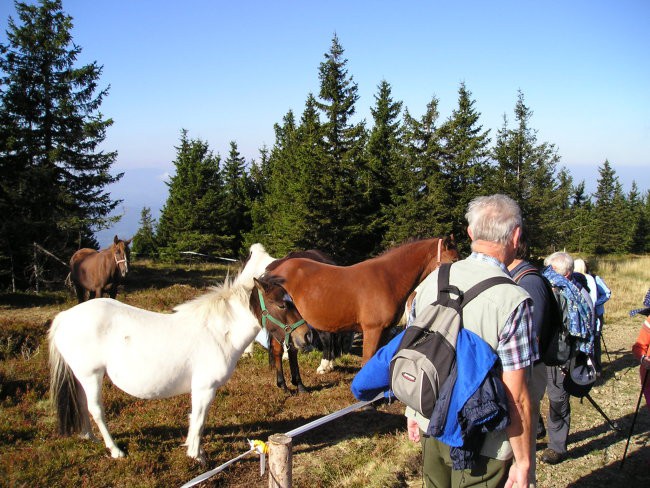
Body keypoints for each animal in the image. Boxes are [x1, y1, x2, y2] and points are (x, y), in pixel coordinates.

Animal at [49, 243, 274, 462]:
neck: (218, 330)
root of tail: (64, 317)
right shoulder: (205, 388)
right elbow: (199, 420)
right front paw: (197, 456)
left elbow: (194, 418)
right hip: (91, 375)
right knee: (95, 409)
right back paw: (115, 450)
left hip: (81, 376)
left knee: (81, 403)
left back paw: (89, 437)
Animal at [256, 234, 458, 364]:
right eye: (454, 261)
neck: (387, 278)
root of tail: (275, 268)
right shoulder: (372, 330)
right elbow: (368, 358)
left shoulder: (385, 330)